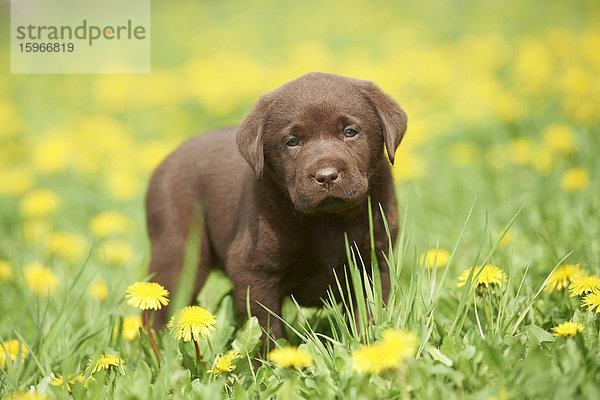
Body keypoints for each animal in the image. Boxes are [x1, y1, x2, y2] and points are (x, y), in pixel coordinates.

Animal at [146, 72, 408, 340]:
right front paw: (275, 353)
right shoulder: (255, 271)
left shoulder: (374, 263)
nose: (326, 176)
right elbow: (266, 328)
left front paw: (366, 344)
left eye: (350, 132)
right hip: (179, 252)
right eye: (292, 141)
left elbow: (366, 317)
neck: (327, 218)